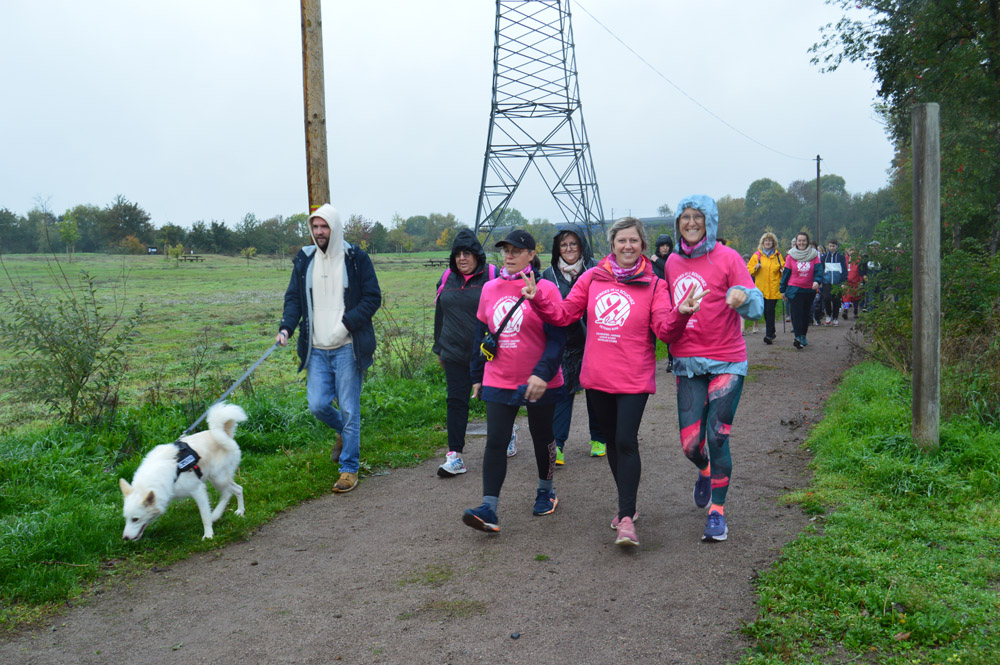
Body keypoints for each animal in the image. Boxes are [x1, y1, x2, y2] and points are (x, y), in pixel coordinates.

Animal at [120, 402, 247, 541]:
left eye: (135, 519)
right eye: (126, 518)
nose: (125, 538)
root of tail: (223, 433)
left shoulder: (198, 491)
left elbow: (205, 517)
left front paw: (208, 535)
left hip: (218, 478)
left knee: (228, 493)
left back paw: (216, 514)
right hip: (219, 478)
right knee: (238, 488)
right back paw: (240, 511)